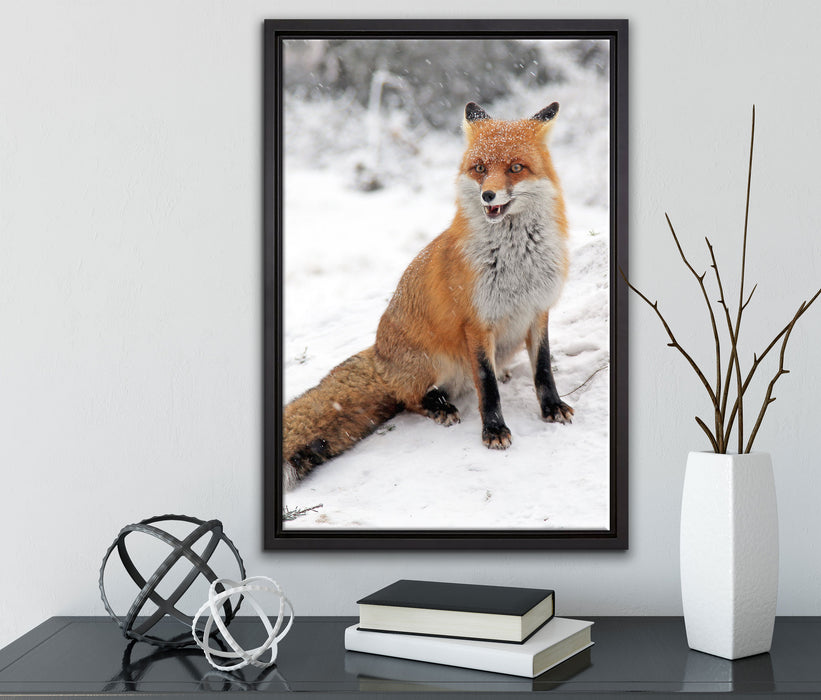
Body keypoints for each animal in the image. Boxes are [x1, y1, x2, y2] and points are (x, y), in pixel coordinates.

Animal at [283, 100, 574, 490]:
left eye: (515, 168)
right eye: (480, 169)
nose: (488, 195)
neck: (516, 262)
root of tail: (378, 355)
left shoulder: (538, 310)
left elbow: (542, 369)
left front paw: (551, 407)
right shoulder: (476, 324)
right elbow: (487, 386)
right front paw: (493, 430)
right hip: (434, 363)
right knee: (410, 398)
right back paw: (440, 407)